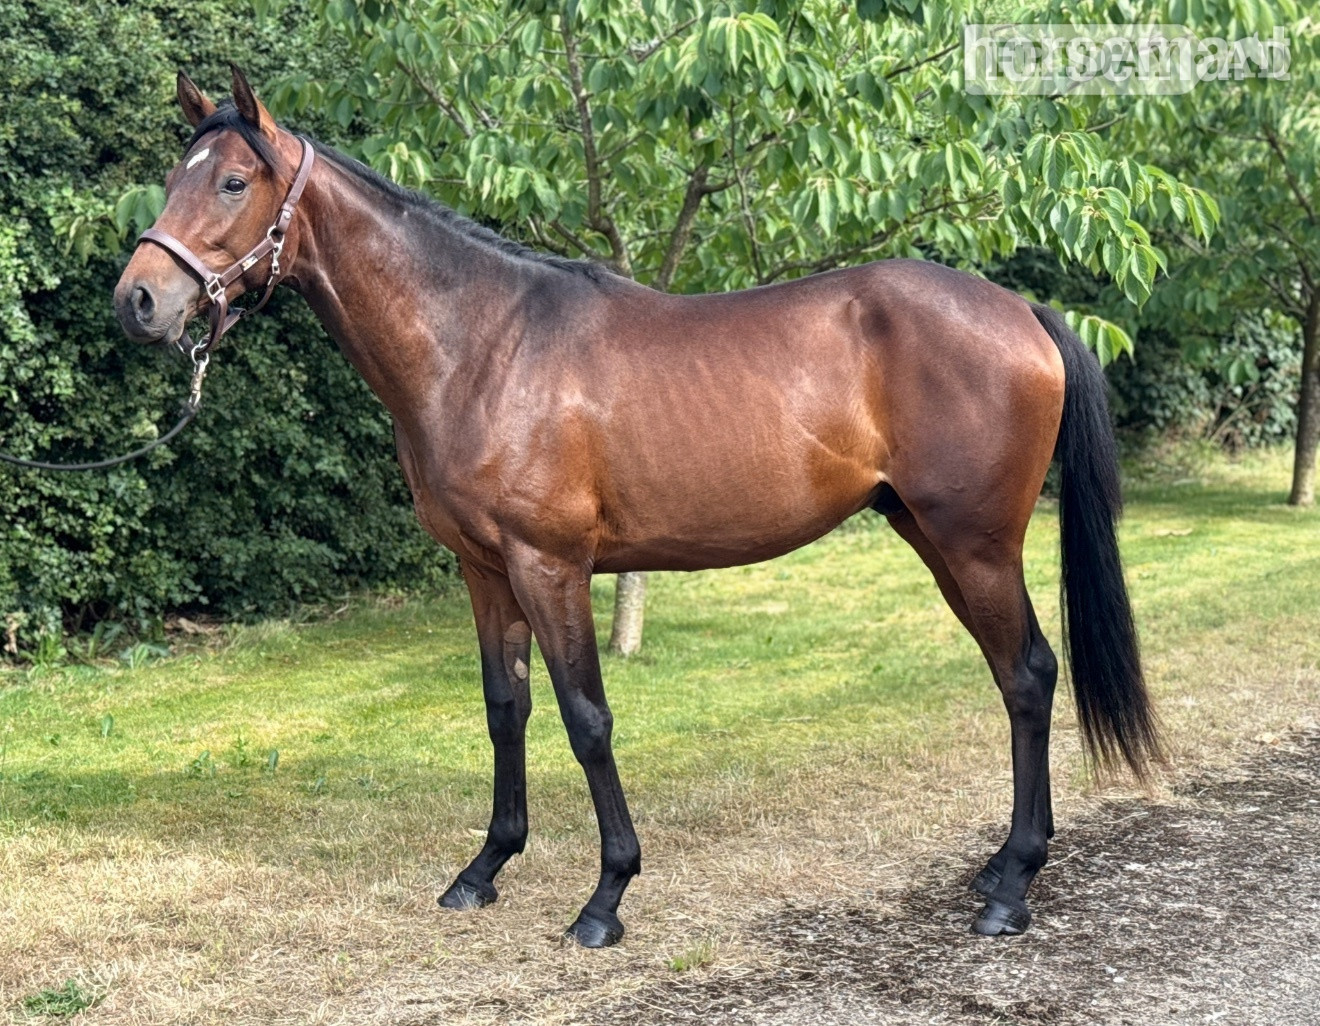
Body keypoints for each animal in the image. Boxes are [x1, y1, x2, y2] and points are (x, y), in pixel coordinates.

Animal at [114, 67, 1160, 947]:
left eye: (233, 183)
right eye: (175, 176)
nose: (139, 302)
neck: (481, 342)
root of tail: (1019, 311)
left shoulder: (551, 566)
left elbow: (587, 718)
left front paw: (606, 898)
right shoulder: (485, 570)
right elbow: (505, 709)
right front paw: (484, 869)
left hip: (975, 543)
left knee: (1027, 675)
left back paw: (1011, 888)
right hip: (932, 536)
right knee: (1014, 677)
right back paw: (998, 866)